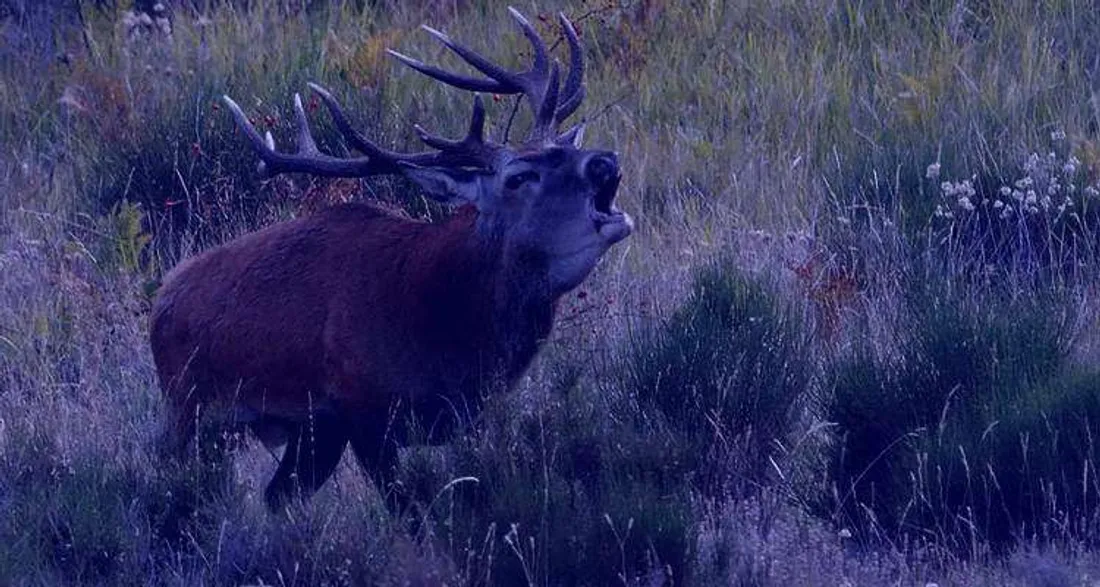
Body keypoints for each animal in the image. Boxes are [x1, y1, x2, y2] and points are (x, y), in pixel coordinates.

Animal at [149, 8, 633, 511]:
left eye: (567, 147)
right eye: (518, 177)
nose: (604, 161)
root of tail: (161, 300)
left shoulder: (464, 415)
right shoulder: (363, 410)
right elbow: (410, 509)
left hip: (306, 431)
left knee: (276, 497)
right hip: (186, 407)